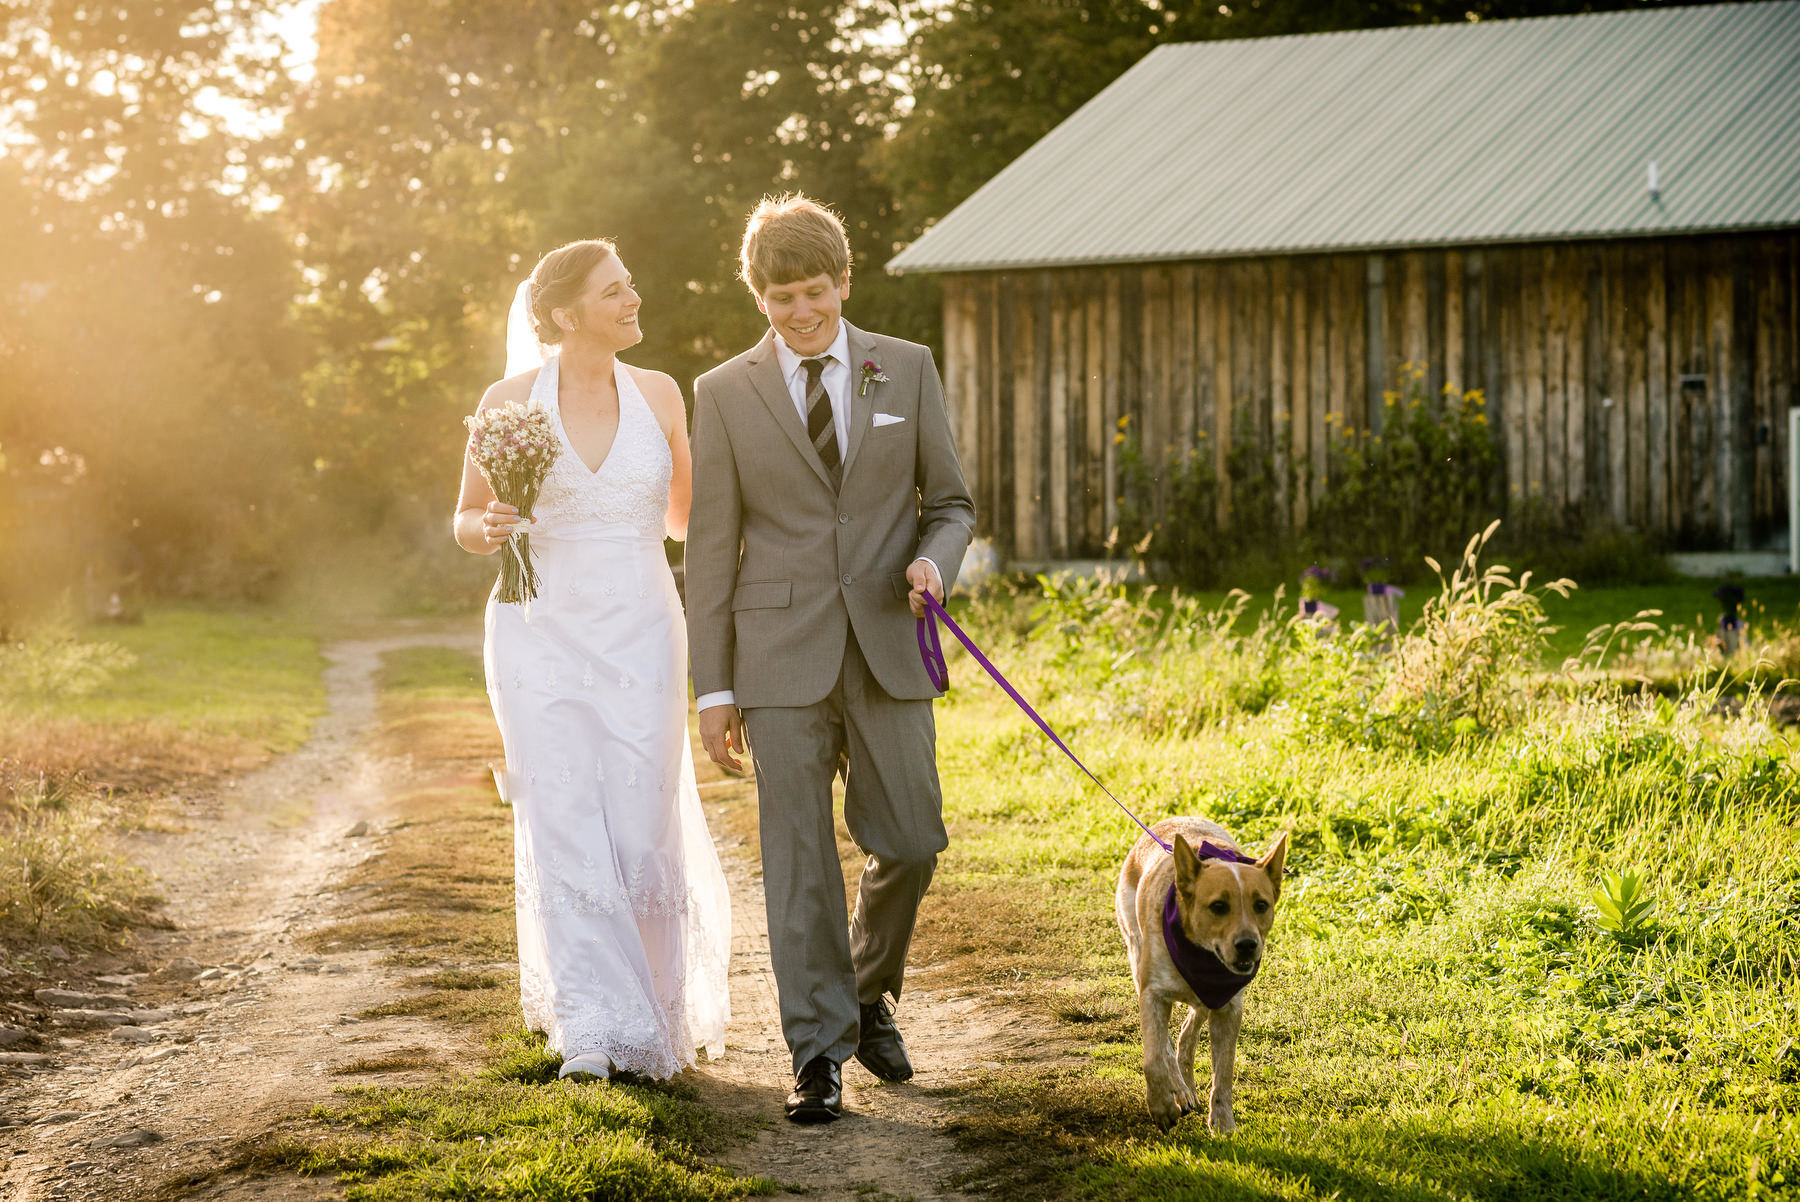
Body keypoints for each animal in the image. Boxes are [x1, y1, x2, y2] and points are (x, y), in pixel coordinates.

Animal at [1116, 820, 1288, 1130]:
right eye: (1218, 906)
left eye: (1261, 905)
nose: (1248, 945)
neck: (1201, 953)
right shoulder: (1152, 993)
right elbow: (1154, 1058)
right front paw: (1161, 1105)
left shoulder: (1228, 1005)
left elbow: (1224, 1070)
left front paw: (1223, 1123)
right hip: (1135, 949)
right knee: (1166, 1044)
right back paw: (1179, 1090)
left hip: (1209, 998)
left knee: (1187, 1032)